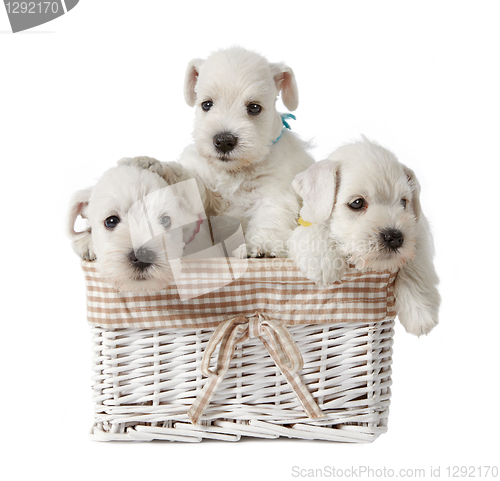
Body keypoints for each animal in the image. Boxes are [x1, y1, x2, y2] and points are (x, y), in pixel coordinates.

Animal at [288, 137, 440, 336]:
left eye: (403, 202)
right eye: (357, 203)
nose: (395, 237)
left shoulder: (417, 232)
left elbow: (416, 265)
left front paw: (420, 312)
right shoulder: (304, 224)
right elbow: (315, 229)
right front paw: (323, 262)